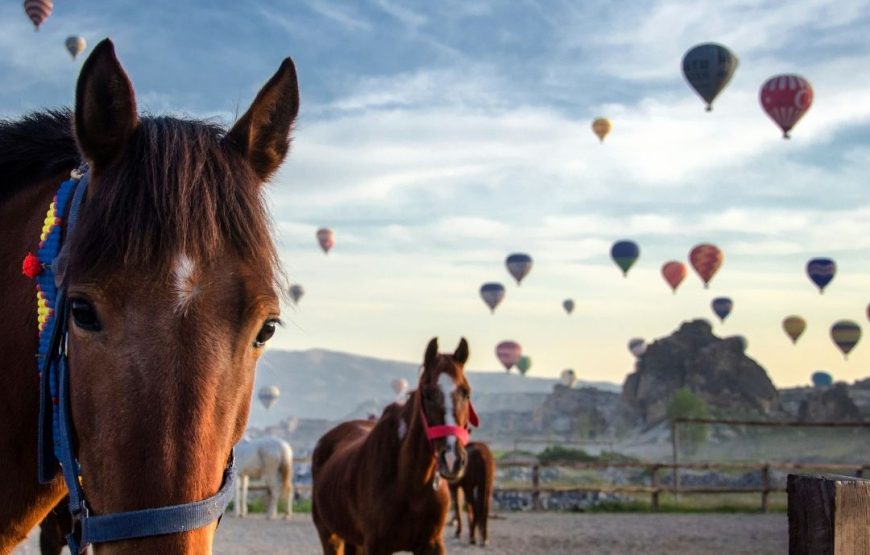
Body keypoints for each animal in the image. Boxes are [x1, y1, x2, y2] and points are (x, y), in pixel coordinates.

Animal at [312, 338, 476, 555]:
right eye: (427, 394)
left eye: (466, 393)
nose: (452, 460)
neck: (409, 482)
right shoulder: (375, 545)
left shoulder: (432, 543)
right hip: (329, 535)